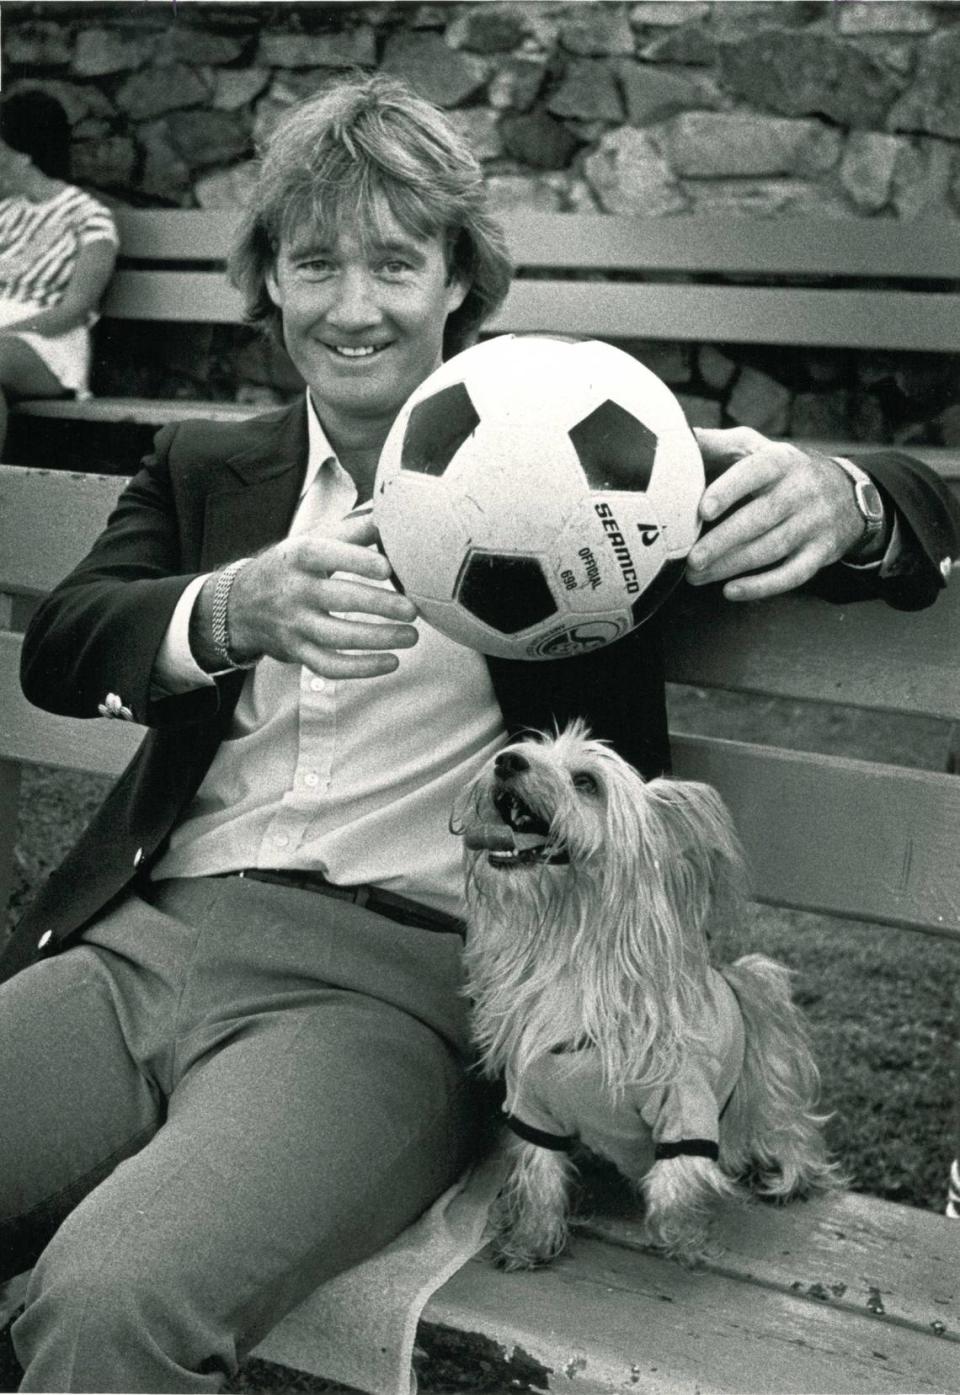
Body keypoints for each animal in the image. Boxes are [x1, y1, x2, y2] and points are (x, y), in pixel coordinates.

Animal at [454, 725, 837, 1272]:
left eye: (586, 782)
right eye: (519, 750)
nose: (506, 761)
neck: (572, 946)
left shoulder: (684, 1102)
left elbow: (676, 1177)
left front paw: (680, 1234)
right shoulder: (533, 1106)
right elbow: (541, 1173)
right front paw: (531, 1239)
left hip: (765, 1067)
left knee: (787, 1125)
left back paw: (790, 1173)